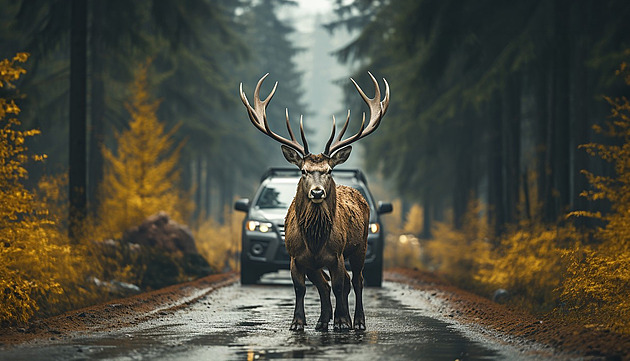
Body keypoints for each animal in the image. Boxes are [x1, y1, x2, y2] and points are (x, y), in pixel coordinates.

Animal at [241, 71, 390, 330]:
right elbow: (302, 288)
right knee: (326, 284)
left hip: (360, 245)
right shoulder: (297, 257)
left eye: (329, 170)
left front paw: (342, 321)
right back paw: (322, 321)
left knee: (356, 280)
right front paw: (298, 322)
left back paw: (358, 321)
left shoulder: (337, 254)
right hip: (317, 263)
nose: (318, 192)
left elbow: (340, 285)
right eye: (303, 171)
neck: (315, 240)